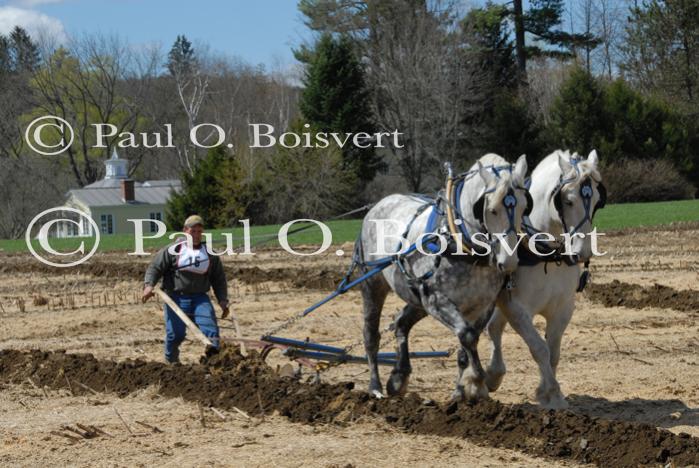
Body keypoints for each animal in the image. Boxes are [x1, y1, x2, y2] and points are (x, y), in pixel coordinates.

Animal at [358, 154, 528, 402]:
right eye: (491, 209)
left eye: (525, 206)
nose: (509, 262)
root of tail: (379, 204)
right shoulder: (436, 301)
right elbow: (467, 336)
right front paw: (477, 382)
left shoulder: (481, 305)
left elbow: (466, 345)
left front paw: (462, 391)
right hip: (373, 284)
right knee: (371, 335)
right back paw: (375, 387)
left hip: (416, 297)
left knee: (401, 323)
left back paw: (399, 377)